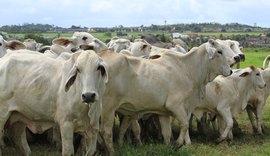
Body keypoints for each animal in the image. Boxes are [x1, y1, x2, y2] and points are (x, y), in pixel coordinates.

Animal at [99, 39, 238, 155]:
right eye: (219, 51)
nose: (230, 71)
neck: (187, 69)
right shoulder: (175, 105)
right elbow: (184, 124)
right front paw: (178, 143)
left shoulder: (164, 113)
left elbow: (167, 133)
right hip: (107, 108)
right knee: (105, 132)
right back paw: (112, 152)